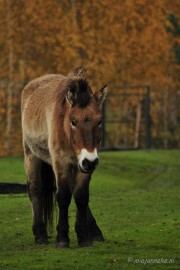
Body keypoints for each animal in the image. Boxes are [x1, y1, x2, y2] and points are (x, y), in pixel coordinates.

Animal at [21, 66, 107, 248]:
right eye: (73, 121)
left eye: (100, 121)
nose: (90, 161)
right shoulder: (61, 163)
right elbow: (63, 196)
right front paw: (62, 238)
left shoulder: (83, 166)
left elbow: (81, 196)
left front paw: (84, 237)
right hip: (31, 155)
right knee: (35, 189)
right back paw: (40, 233)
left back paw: (94, 231)